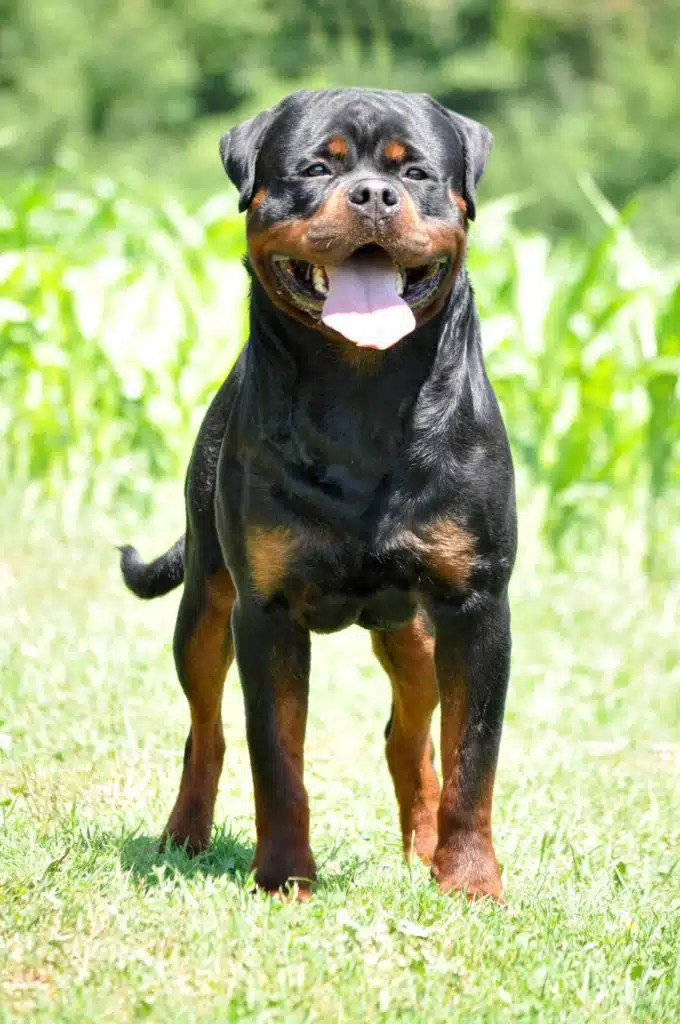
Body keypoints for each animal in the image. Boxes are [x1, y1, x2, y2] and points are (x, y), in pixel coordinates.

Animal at [120, 88, 517, 901]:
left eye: (416, 172)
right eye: (315, 168)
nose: (372, 195)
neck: (362, 392)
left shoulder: (477, 603)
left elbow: (473, 760)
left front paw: (468, 880)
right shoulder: (265, 611)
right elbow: (276, 759)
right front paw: (283, 878)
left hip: (415, 630)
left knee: (409, 736)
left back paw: (422, 849)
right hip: (205, 602)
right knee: (205, 729)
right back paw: (184, 834)